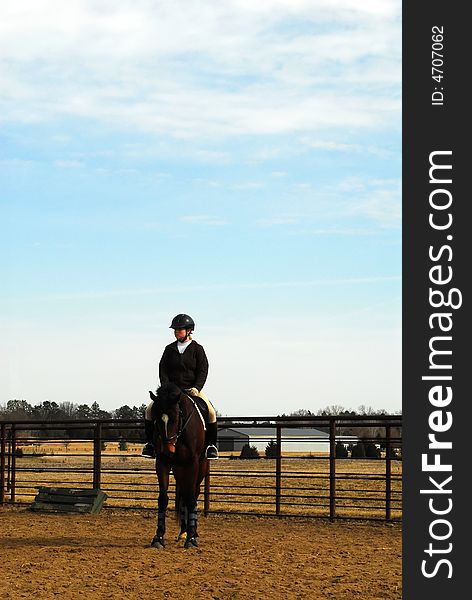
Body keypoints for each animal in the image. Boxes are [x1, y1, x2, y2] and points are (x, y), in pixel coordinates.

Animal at [147, 384, 207, 548]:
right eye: (156, 418)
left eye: (176, 418)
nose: (168, 450)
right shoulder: (162, 463)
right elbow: (163, 498)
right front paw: (158, 537)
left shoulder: (192, 463)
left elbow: (191, 499)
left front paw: (191, 539)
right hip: (179, 470)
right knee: (184, 496)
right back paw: (184, 531)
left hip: (200, 468)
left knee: (193, 494)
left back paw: (193, 533)